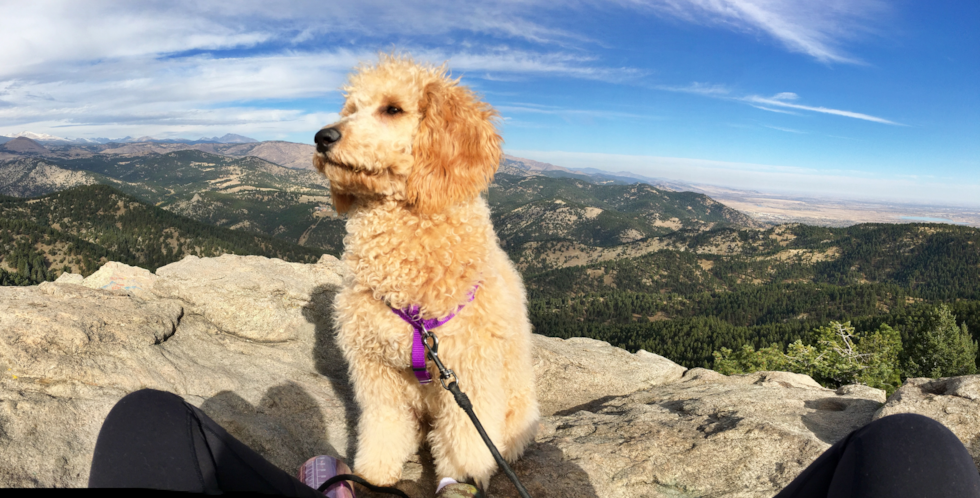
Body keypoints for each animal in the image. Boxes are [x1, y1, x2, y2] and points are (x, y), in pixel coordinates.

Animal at [312, 54, 540, 486]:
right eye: (350, 109)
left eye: (392, 109)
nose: (321, 137)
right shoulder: (375, 368)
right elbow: (383, 425)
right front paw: (374, 475)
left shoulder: (470, 370)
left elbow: (466, 442)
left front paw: (464, 479)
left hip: (517, 408)